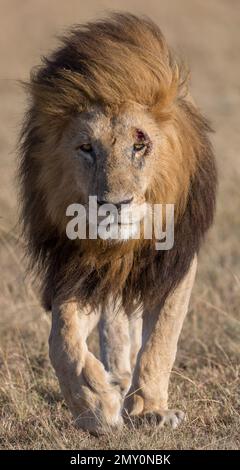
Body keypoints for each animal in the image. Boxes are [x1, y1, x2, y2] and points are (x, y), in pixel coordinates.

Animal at [18, 12, 218, 436]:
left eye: (140, 145)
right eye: (86, 148)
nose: (115, 205)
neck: (121, 246)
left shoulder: (174, 261)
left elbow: (161, 339)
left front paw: (150, 410)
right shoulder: (75, 267)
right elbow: (62, 342)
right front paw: (97, 405)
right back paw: (117, 379)